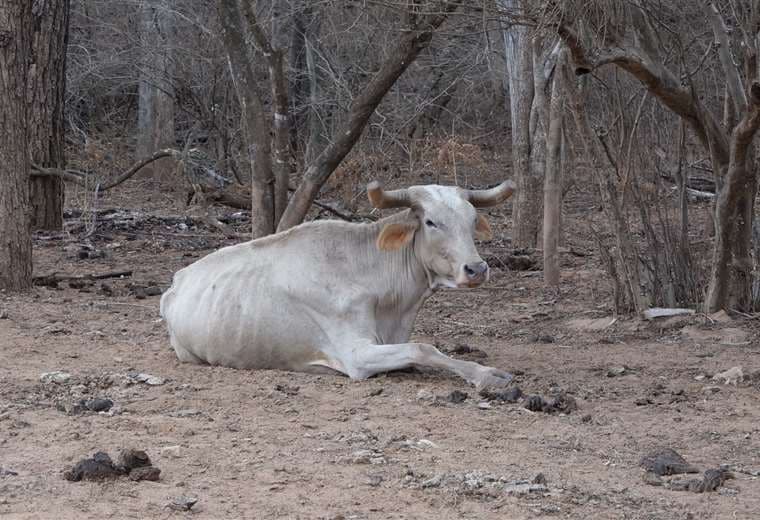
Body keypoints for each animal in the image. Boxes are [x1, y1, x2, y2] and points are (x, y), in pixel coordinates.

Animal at [160, 181, 516, 388]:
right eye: (431, 222)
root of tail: (178, 279)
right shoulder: (356, 355)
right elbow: (424, 348)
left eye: (472, 220)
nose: (476, 268)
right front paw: (488, 376)